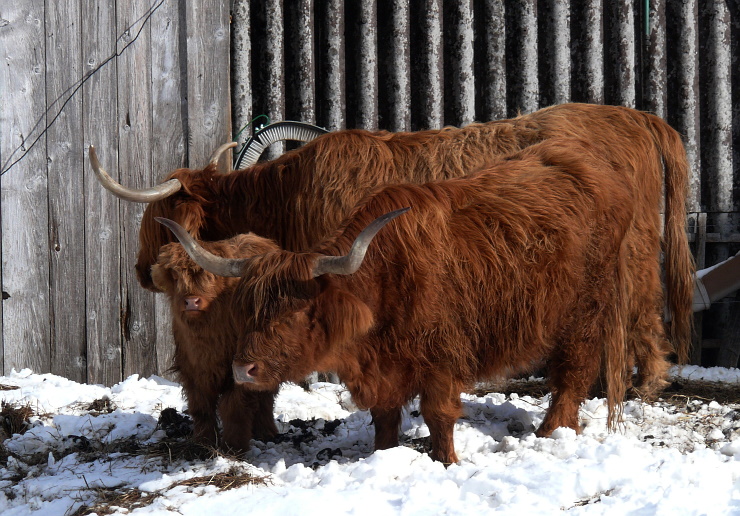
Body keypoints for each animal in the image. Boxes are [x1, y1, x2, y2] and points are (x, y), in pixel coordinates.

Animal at [150, 236, 280, 454]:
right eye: (175, 275)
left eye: (210, 275)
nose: (191, 301)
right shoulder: (192, 372)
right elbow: (201, 408)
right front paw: (203, 443)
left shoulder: (240, 370)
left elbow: (233, 408)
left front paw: (233, 447)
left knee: (266, 399)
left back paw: (267, 432)